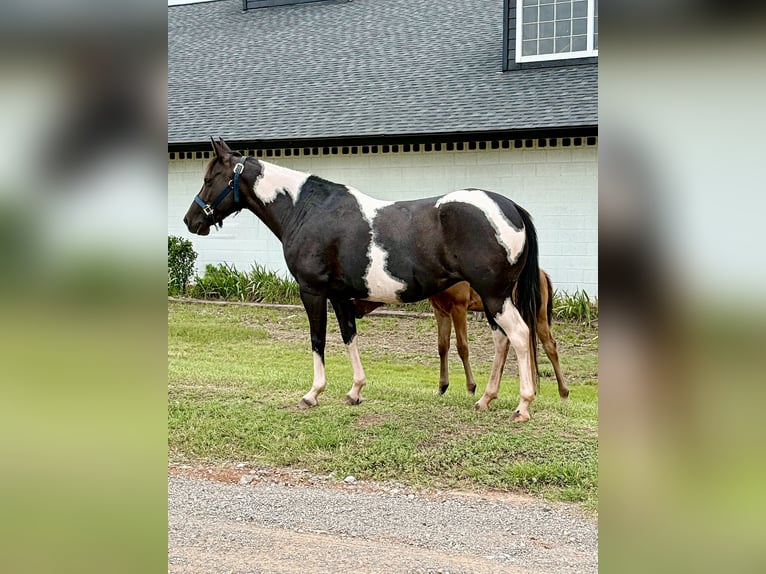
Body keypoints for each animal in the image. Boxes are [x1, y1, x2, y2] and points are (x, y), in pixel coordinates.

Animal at [184, 137, 542, 421]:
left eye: (208, 178)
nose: (191, 220)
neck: (306, 210)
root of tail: (511, 208)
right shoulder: (340, 295)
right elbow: (349, 337)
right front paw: (355, 391)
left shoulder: (312, 291)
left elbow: (318, 340)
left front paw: (312, 394)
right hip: (495, 298)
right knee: (502, 340)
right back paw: (485, 399)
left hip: (494, 295)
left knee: (519, 336)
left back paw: (523, 406)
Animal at [429, 272, 569, 401]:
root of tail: (543, 274)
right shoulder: (440, 310)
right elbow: (442, 346)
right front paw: (442, 387)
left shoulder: (459, 307)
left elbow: (462, 347)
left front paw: (471, 388)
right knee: (529, 346)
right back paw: (532, 391)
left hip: (538, 315)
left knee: (549, 345)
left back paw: (564, 393)